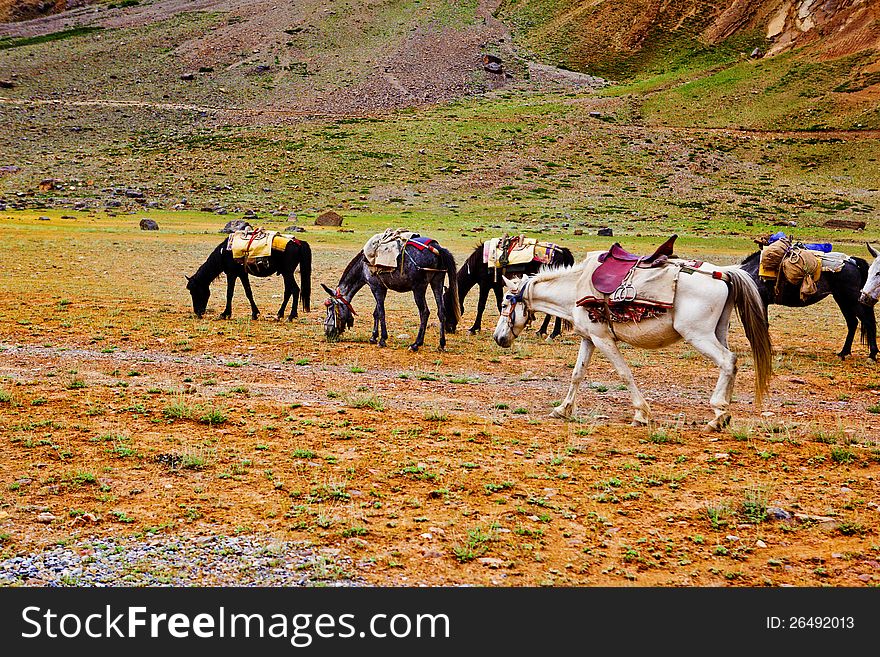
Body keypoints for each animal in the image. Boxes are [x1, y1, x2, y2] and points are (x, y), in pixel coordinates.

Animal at [184, 236, 312, 320]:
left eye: (194, 291)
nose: (197, 312)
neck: (223, 253)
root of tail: (298, 243)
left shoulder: (231, 273)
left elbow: (229, 293)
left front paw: (225, 314)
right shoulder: (242, 274)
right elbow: (248, 292)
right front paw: (255, 314)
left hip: (288, 273)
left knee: (295, 290)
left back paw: (291, 316)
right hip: (285, 273)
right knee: (288, 291)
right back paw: (279, 314)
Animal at [322, 234, 460, 352]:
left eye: (330, 307)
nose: (327, 332)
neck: (363, 266)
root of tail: (437, 248)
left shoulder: (376, 287)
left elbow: (381, 312)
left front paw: (382, 339)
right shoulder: (382, 288)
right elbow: (376, 312)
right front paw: (373, 337)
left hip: (419, 288)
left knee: (424, 312)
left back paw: (416, 344)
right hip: (437, 282)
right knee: (441, 312)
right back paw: (441, 344)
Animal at [440, 240, 576, 338]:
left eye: (447, 306)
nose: (448, 329)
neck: (479, 262)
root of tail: (564, 252)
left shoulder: (485, 285)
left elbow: (481, 306)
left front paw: (474, 328)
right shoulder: (496, 286)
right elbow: (500, 304)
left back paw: (552, 333)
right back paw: (544, 331)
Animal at [740, 249, 876, 358]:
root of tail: (853, 262)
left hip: (851, 299)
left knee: (868, 321)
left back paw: (872, 354)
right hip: (842, 300)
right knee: (853, 323)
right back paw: (844, 352)